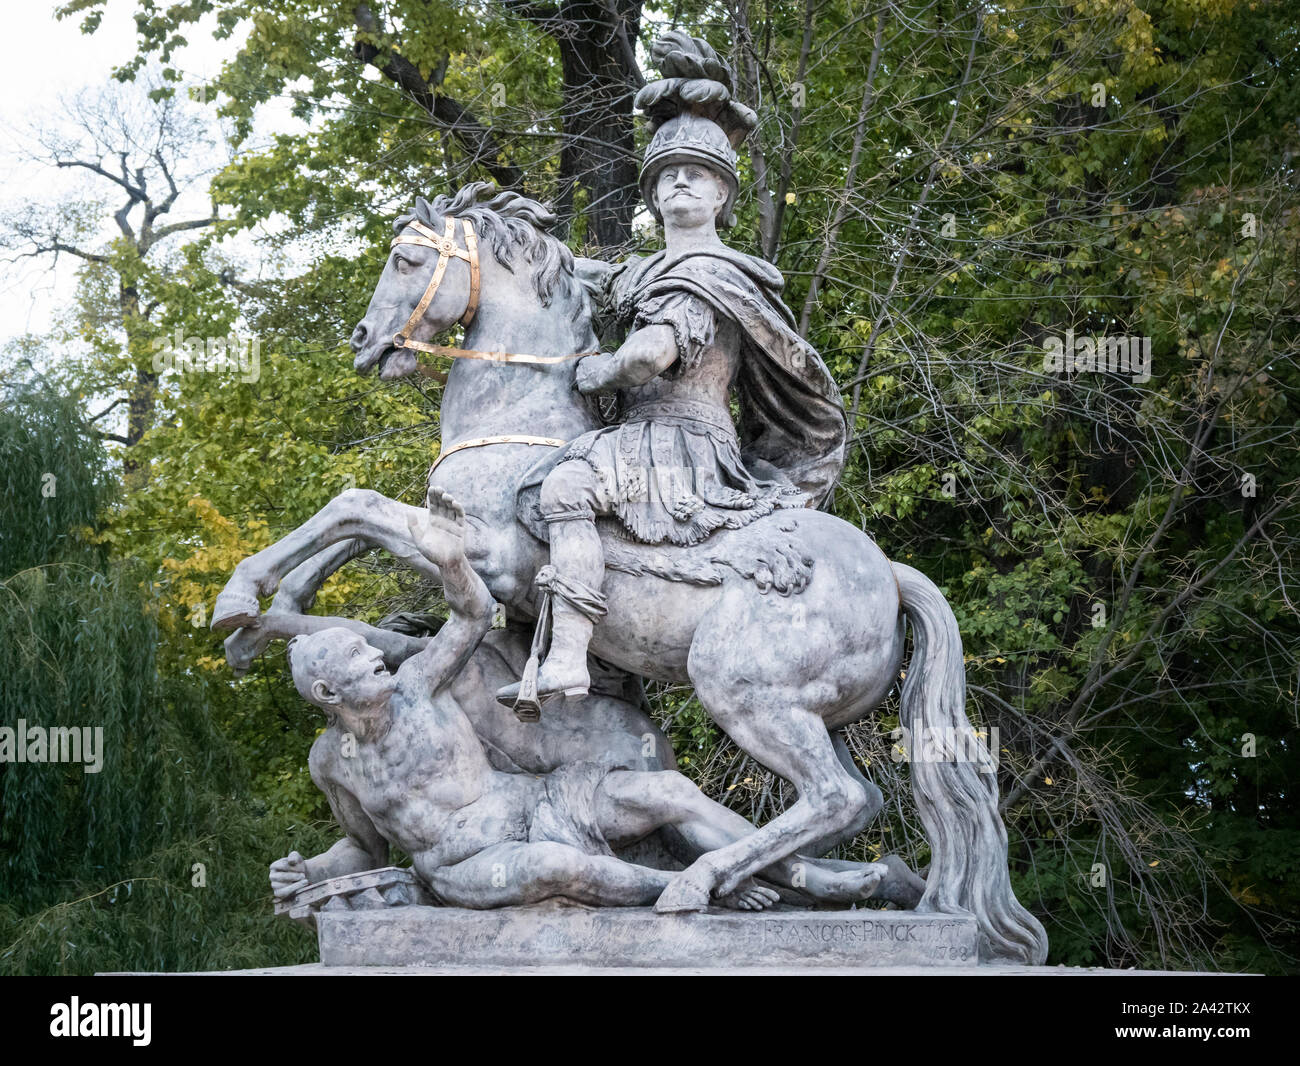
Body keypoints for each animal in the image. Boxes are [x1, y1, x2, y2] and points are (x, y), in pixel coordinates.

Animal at [213, 183, 1045, 967]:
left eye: (408, 259)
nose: (362, 343)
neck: (518, 419)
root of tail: (893, 574)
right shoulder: (449, 533)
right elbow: (350, 530)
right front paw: (262, 619)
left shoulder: (484, 554)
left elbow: (358, 508)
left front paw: (236, 597)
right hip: (814, 713)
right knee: (853, 800)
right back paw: (830, 883)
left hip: (743, 692)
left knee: (834, 797)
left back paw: (698, 886)